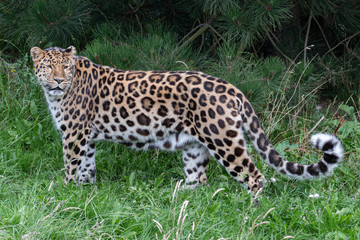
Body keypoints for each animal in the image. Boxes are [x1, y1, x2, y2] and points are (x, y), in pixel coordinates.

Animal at [30, 46, 344, 196]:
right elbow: (87, 166)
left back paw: (252, 212)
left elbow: (71, 164)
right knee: (199, 180)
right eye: (48, 67)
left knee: (254, 175)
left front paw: (65, 192)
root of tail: (233, 88)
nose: (58, 81)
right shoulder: (87, 136)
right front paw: (85, 192)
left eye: (65, 67)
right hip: (194, 146)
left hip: (224, 140)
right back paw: (184, 203)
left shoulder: (74, 134)